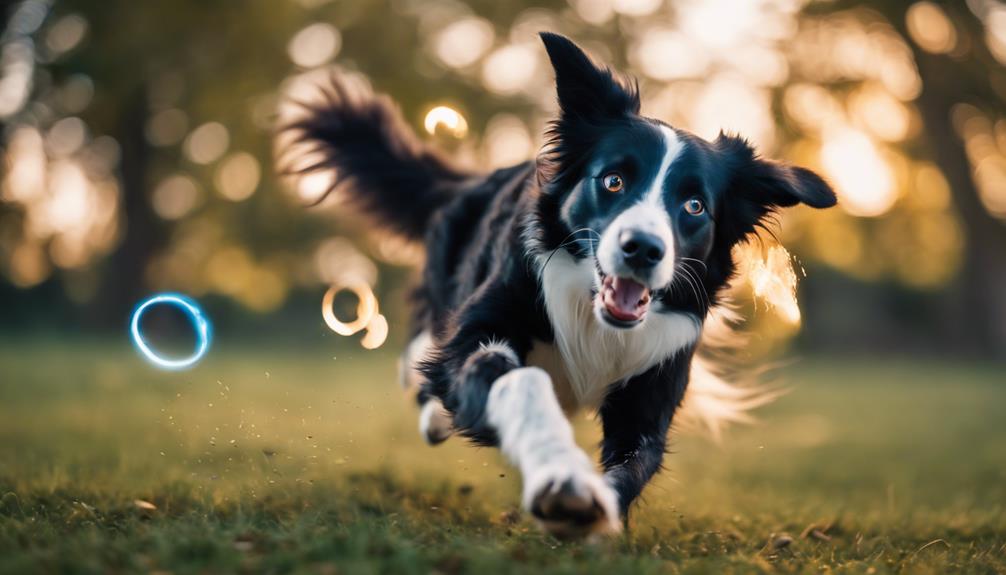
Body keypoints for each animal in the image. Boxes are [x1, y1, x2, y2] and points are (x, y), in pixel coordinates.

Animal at [279, 32, 836, 538]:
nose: (643, 248)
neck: (593, 315)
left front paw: (590, 505)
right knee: (425, 355)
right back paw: (435, 407)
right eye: (613, 180)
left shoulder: (650, 394)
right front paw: (561, 476)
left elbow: (634, 462)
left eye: (695, 205)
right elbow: (518, 380)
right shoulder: (484, 328)